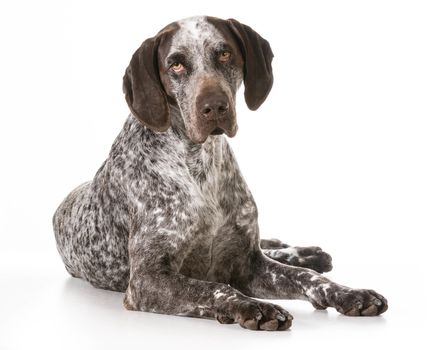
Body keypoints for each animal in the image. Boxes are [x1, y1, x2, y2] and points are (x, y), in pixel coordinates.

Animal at [54, 15, 388, 330]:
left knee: (273, 248)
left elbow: (306, 277)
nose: (214, 106)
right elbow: (215, 288)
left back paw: (306, 253)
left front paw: (350, 294)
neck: (202, 164)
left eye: (225, 54)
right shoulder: (147, 279)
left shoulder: (248, 264)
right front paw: (254, 307)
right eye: (175, 64)